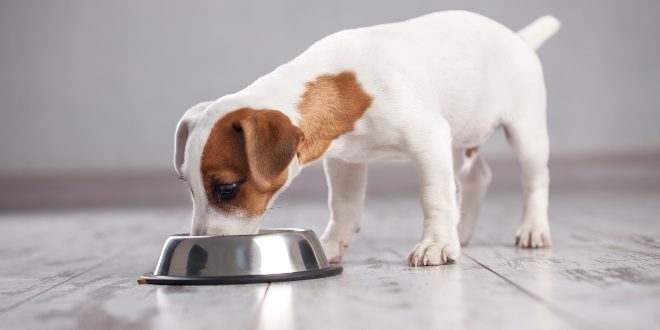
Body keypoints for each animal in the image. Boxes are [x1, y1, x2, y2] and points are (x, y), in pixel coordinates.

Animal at [173, 10, 560, 266]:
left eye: (227, 188)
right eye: (188, 186)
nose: (201, 245)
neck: (346, 86)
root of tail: (520, 39)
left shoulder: (428, 141)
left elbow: (434, 198)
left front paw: (435, 245)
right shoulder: (345, 161)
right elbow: (343, 207)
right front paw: (330, 245)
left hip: (524, 134)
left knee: (536, 180)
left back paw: (532, 229)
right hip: (458, 144)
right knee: (478, 177)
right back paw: (461, 230)